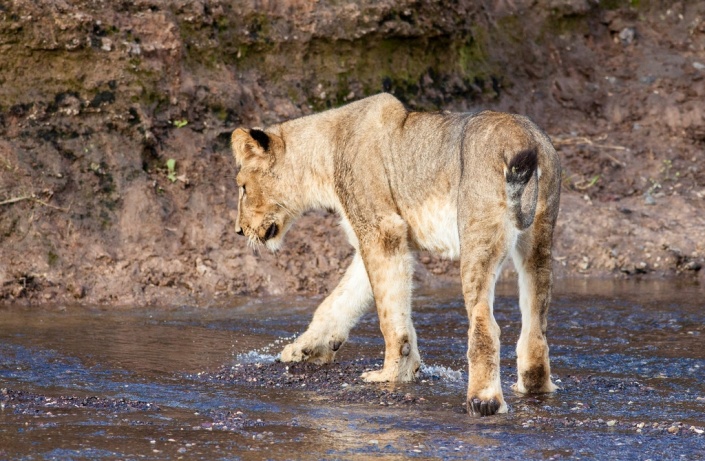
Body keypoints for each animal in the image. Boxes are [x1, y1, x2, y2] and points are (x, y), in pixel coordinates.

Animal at [231, 93, 561, 416]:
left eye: (243, 188)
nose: (238, 230)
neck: (325, 154)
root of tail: (522, 138)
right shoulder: (377, 237)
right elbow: (338, 300)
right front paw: (305, 349)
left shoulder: (382, 231)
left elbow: (389, 316)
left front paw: (392, 374)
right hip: (539, 243)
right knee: (537, 326)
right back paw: (533, 386)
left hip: (477, 240)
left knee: (485, 325)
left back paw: (483, 401)